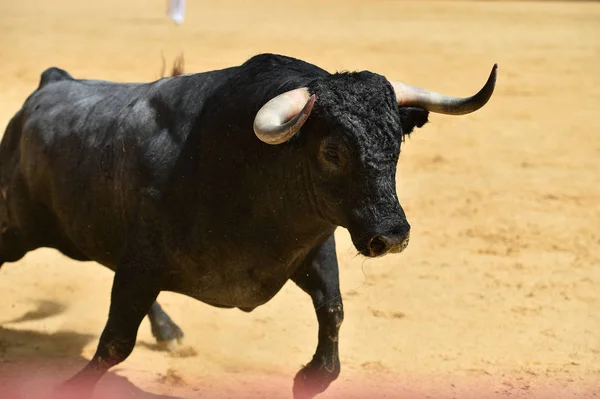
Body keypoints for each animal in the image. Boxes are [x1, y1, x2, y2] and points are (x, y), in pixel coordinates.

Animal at [0, 54, 496, 399]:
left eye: (396, 144)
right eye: (332, 151)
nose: (391, 234)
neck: (243, 163)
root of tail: (53, 81)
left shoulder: (315, 249)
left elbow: (333, 311)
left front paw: (309, 379)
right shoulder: (142, 261)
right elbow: (115, 342)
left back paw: (170, 334)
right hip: (17, 228)